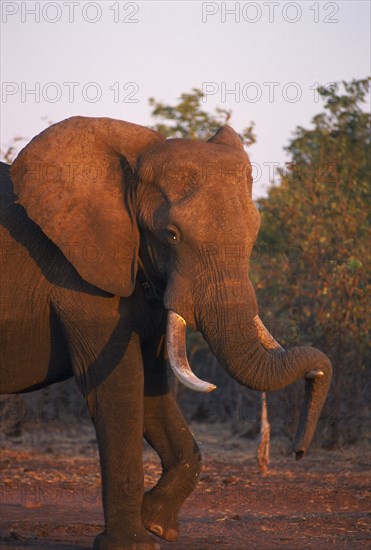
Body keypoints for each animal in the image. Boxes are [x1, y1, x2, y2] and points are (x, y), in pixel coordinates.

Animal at [0, 117, 332, 550]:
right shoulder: (78, 275)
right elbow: (118, 389)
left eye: (255, 233)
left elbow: (152, 388)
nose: (298, 451)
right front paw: (134, 544)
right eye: (171, 235)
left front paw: (156, 523)